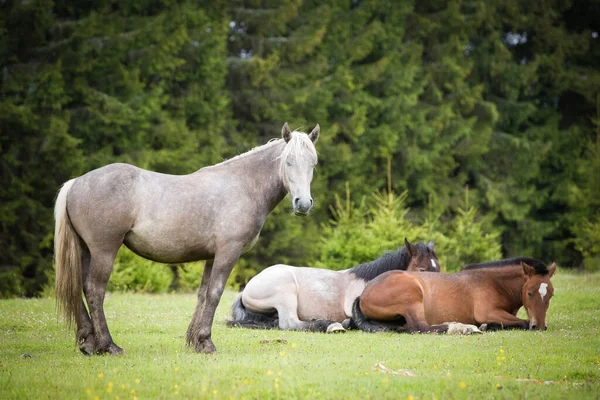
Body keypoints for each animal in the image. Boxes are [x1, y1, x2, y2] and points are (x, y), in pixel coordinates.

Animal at [54, 123, 322, 354]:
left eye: (313, 164)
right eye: (288, 161)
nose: (303, 204)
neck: (243, 186)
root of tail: (76, 182)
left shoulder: (212, 257)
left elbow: (203, 294)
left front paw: (195, 342)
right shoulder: (228, 252)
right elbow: (215, 293)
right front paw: (207, 342)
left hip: (85, 250)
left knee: (79, 288)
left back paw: (88, 343)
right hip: (104, 250)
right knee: (94, 290)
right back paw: (108, 346)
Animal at [352, 258, 556, 332]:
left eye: (551, 295)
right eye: (530, 292)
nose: (540, 326)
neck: (492, 282)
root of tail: (363, 294)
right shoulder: (487, 312)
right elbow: (523, 322)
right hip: (413, 296)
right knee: (421, 327)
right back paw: (456, 327)